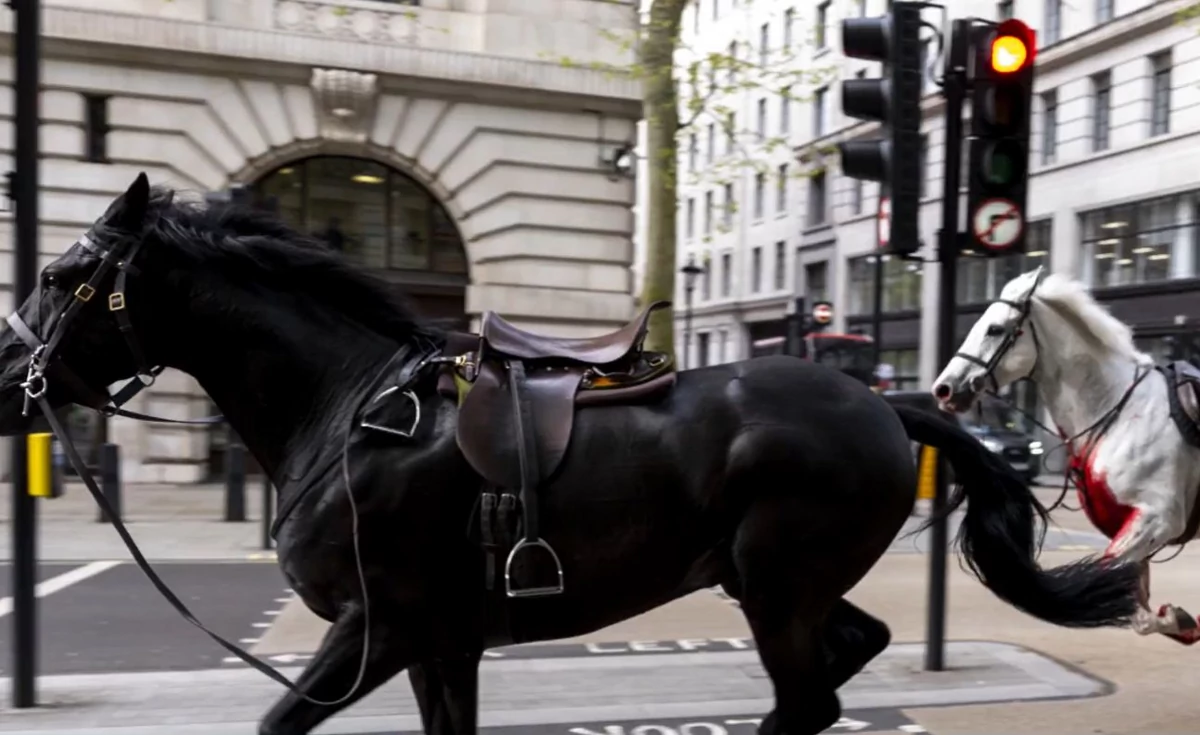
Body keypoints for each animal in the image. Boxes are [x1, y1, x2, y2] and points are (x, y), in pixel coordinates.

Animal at [0, 174, 1142, 735]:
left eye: (58, 275)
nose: (10, 370)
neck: (351, 411)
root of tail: (883, 402)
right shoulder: (442, 642)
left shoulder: (379, 626)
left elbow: (280, 724)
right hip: (773, 582)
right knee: (839, 662)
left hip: (776, 585)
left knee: (808, 698)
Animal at [931, 265, 1200, 643]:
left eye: (995, 328)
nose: (943, 388)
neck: (1120, 411)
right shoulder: (1134, 525)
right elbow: (1135, 605)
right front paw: (1180, 622)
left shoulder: (1158, 516)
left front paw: (1179, 620)